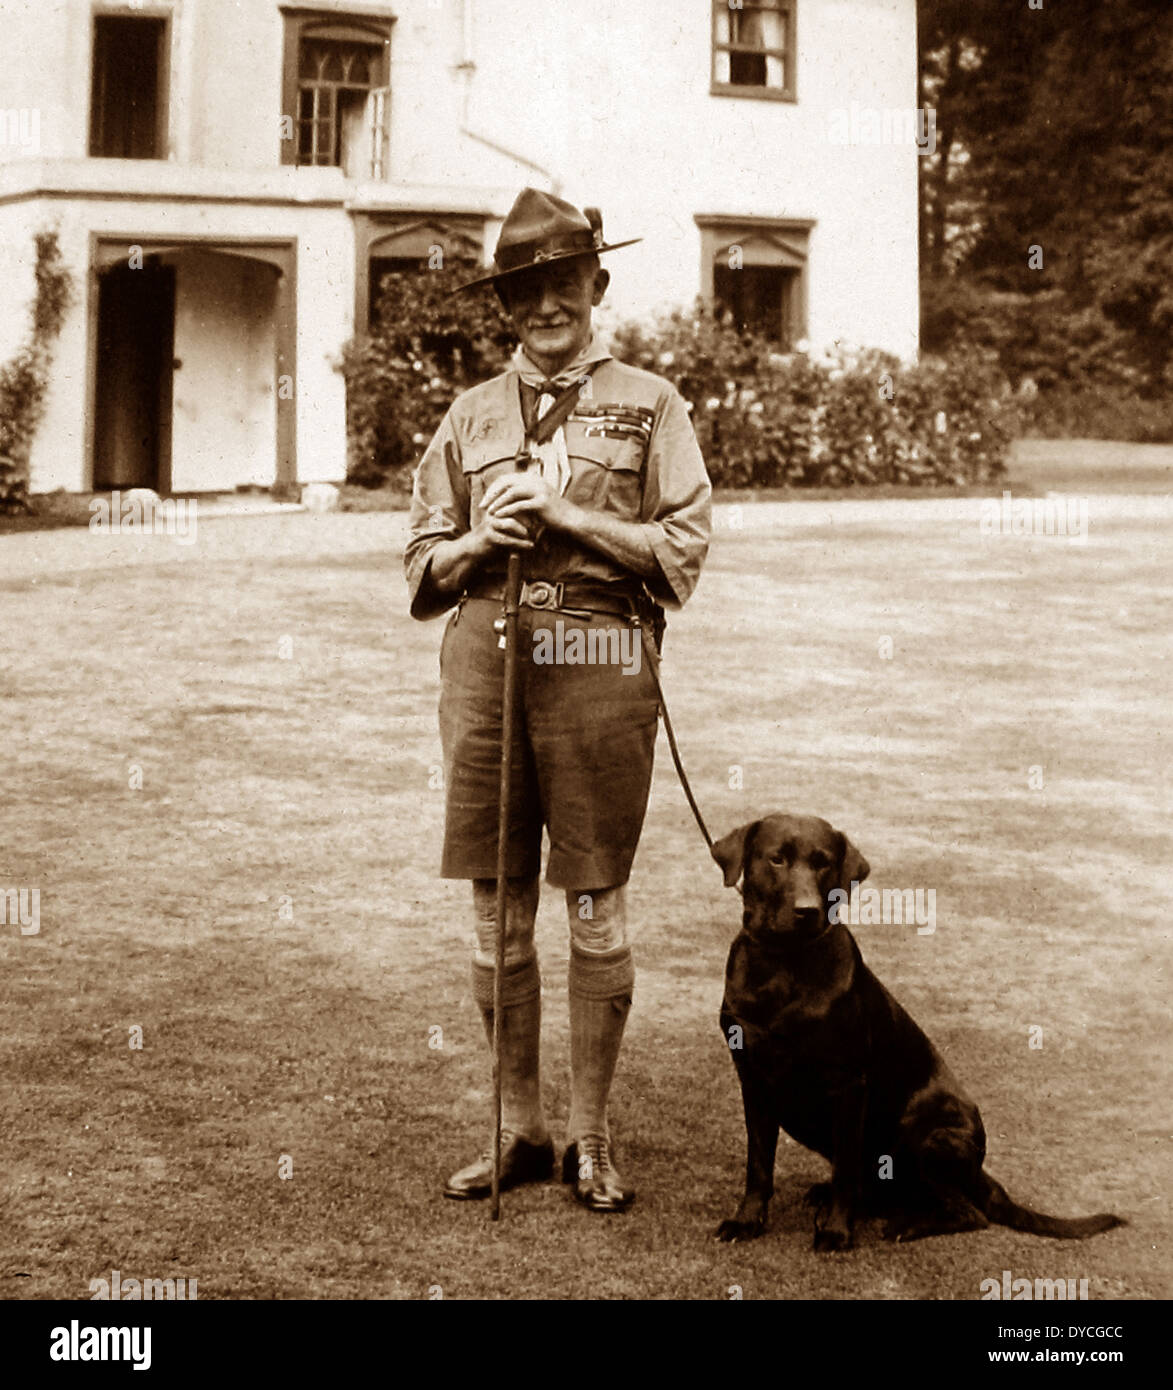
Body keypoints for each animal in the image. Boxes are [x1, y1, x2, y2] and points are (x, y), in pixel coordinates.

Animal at [711, 811, 1122, 1251]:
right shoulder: (754, 1080)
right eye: (777, 859)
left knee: (966, 1212)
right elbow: (759, 1165)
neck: (784, 963)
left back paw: (904, 1225)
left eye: (823, 863)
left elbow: (845, 1170)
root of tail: (982, 1174)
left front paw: (837, 1231)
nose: (807, 910)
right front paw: (746, 1221)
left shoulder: (849, 1083)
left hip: (924, 1133)